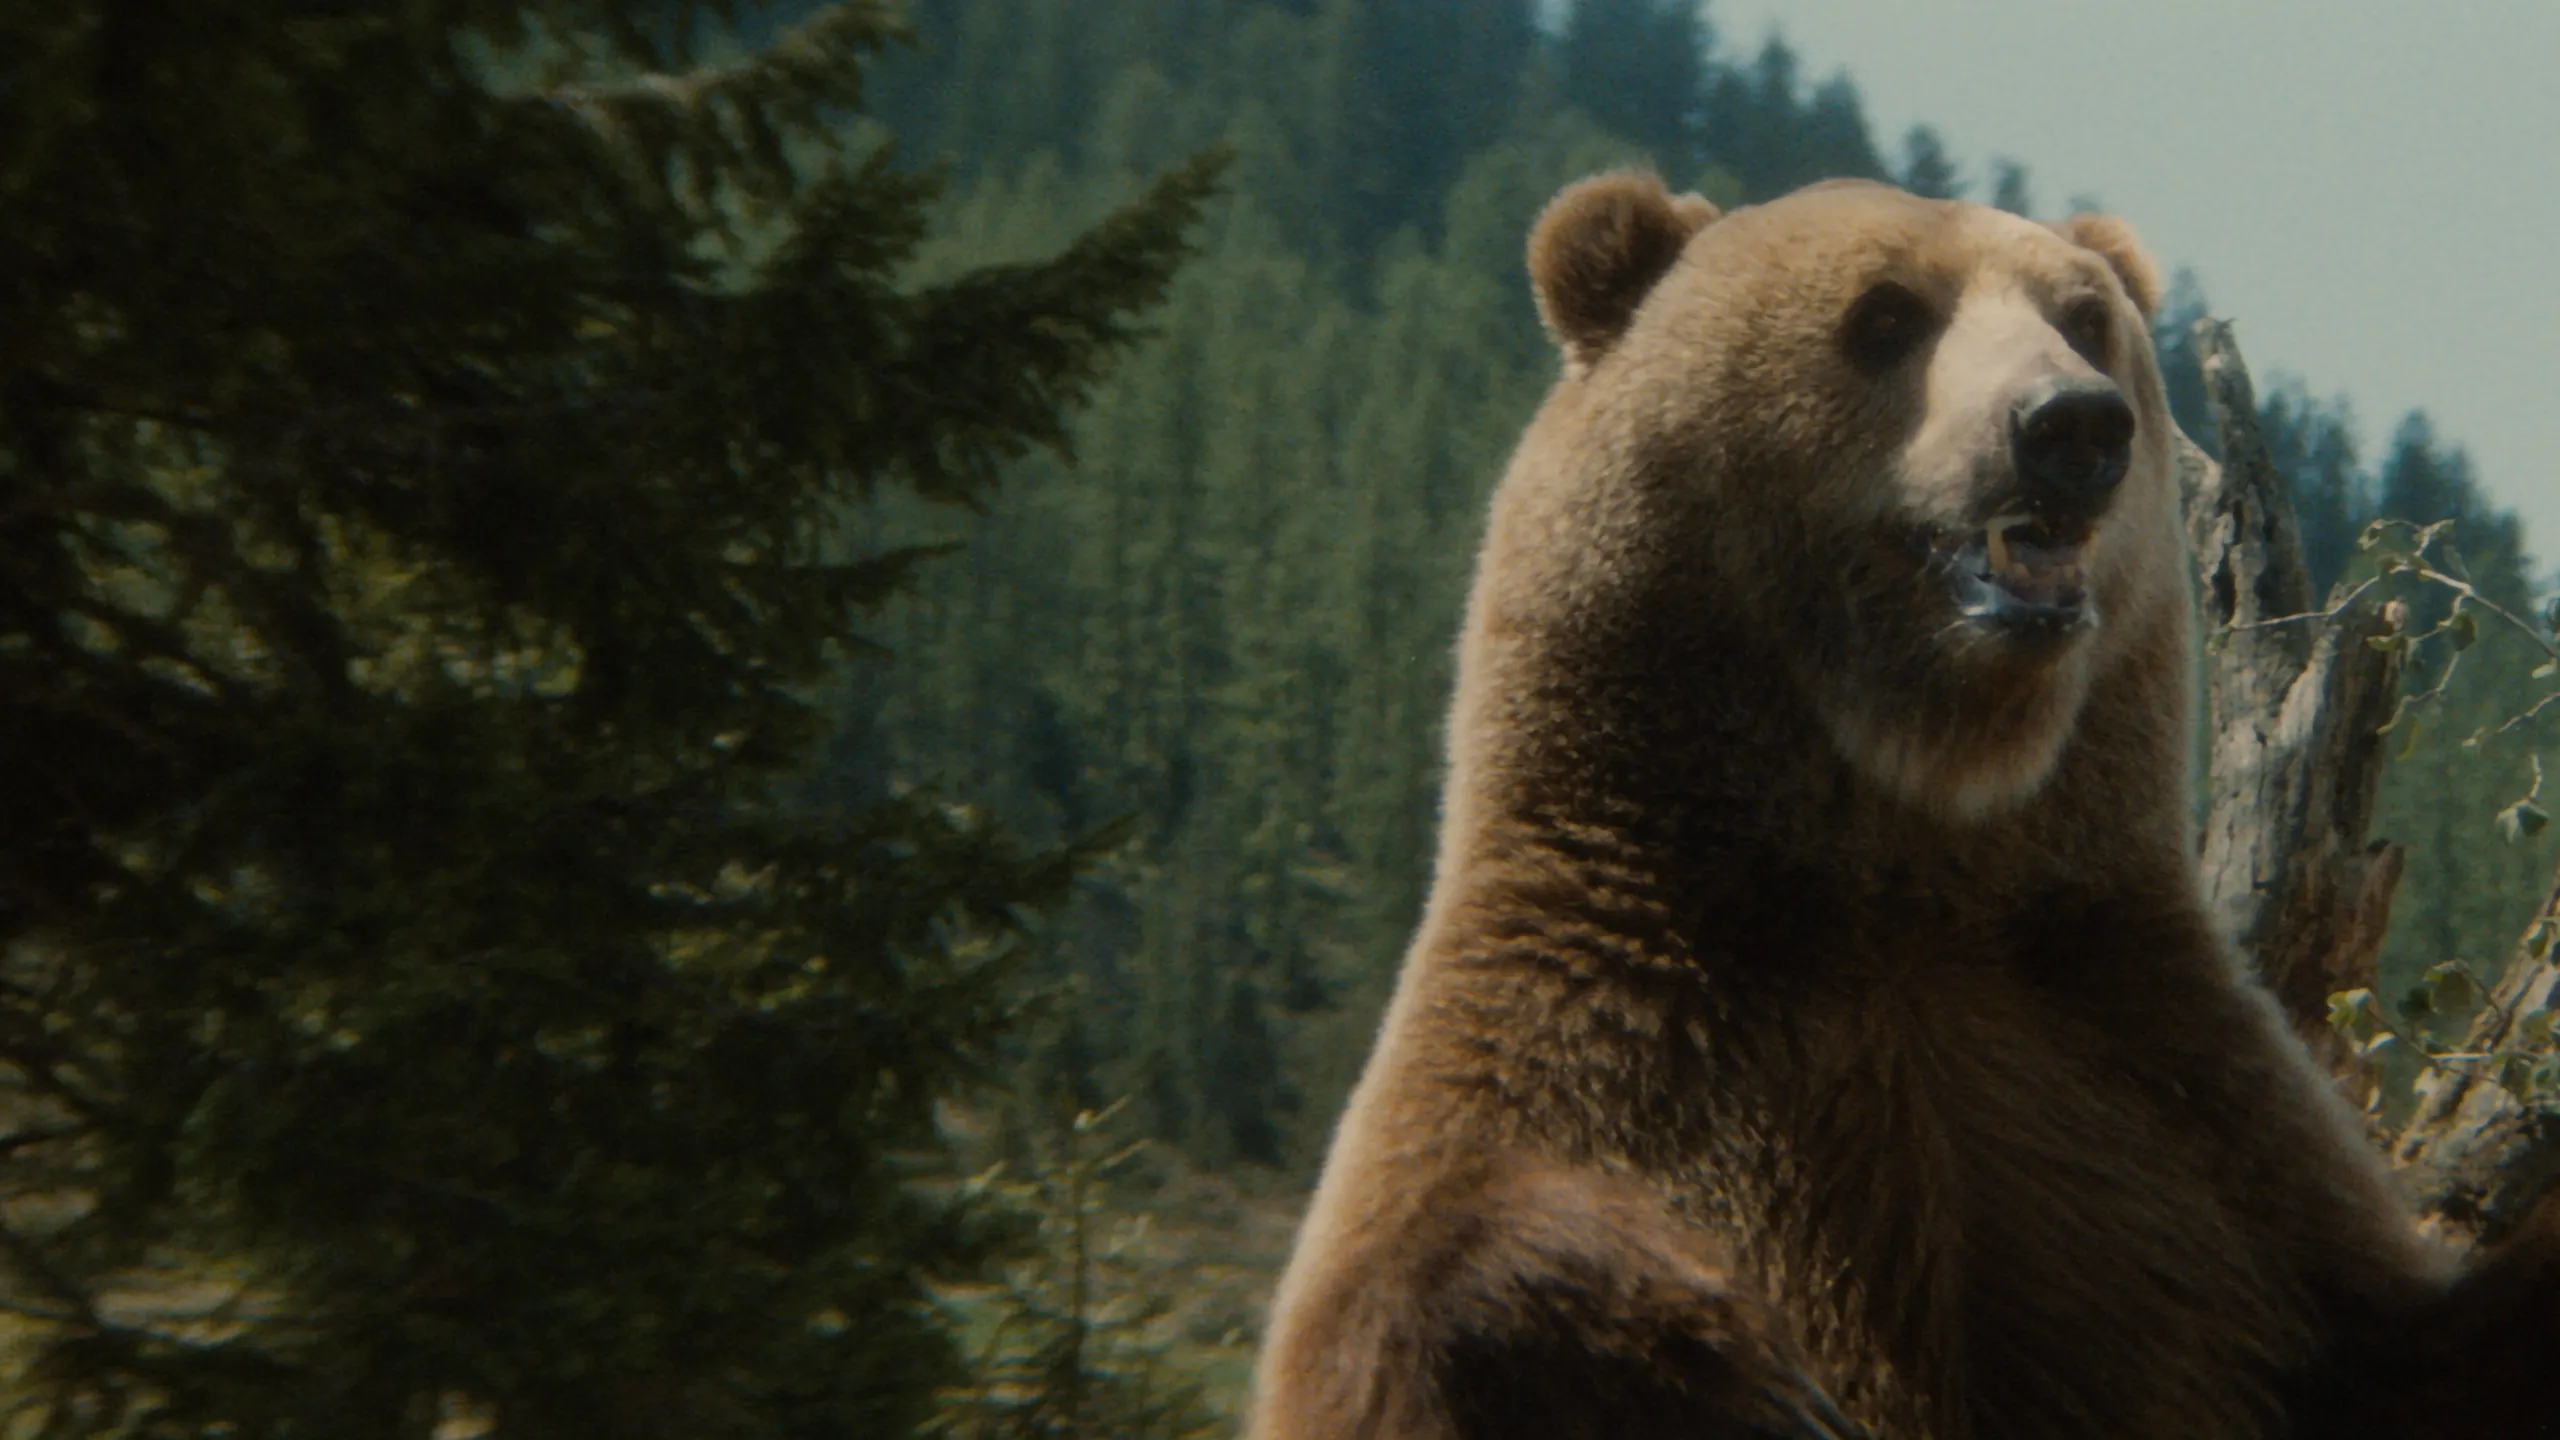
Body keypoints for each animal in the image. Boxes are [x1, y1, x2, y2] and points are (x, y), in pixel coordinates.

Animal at [1247, 173, 2560, 1440]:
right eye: (1883, 315)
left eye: (2084, 317)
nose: (2072, 424)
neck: (1905, 832)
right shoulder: (1595, 1058)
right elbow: (1435, 1291)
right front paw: (1708, 1365)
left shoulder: (2172, 1124)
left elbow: (2410, 1349)